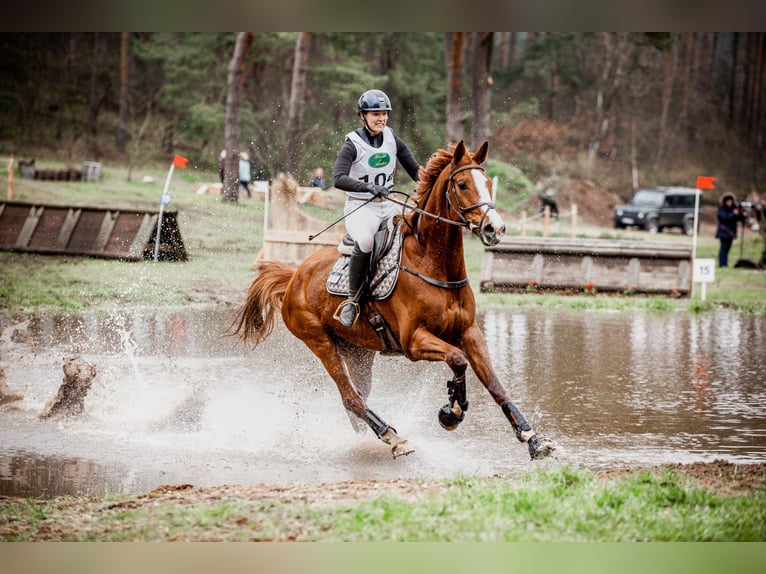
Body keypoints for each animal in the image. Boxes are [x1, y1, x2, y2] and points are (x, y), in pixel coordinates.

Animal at [231, 142, 556, 462]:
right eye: (463, 184)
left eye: (488, 183)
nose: (494, 229)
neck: (433, 264)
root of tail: (295, 274)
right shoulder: (414, 340)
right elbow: (457, 360)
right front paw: (452, 412)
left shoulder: (469, 333)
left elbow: (495, 384)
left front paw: (532, 438)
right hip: (319, 341)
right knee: (350, 397)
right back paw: (393, 437)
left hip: (358, 352)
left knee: (357, 397)